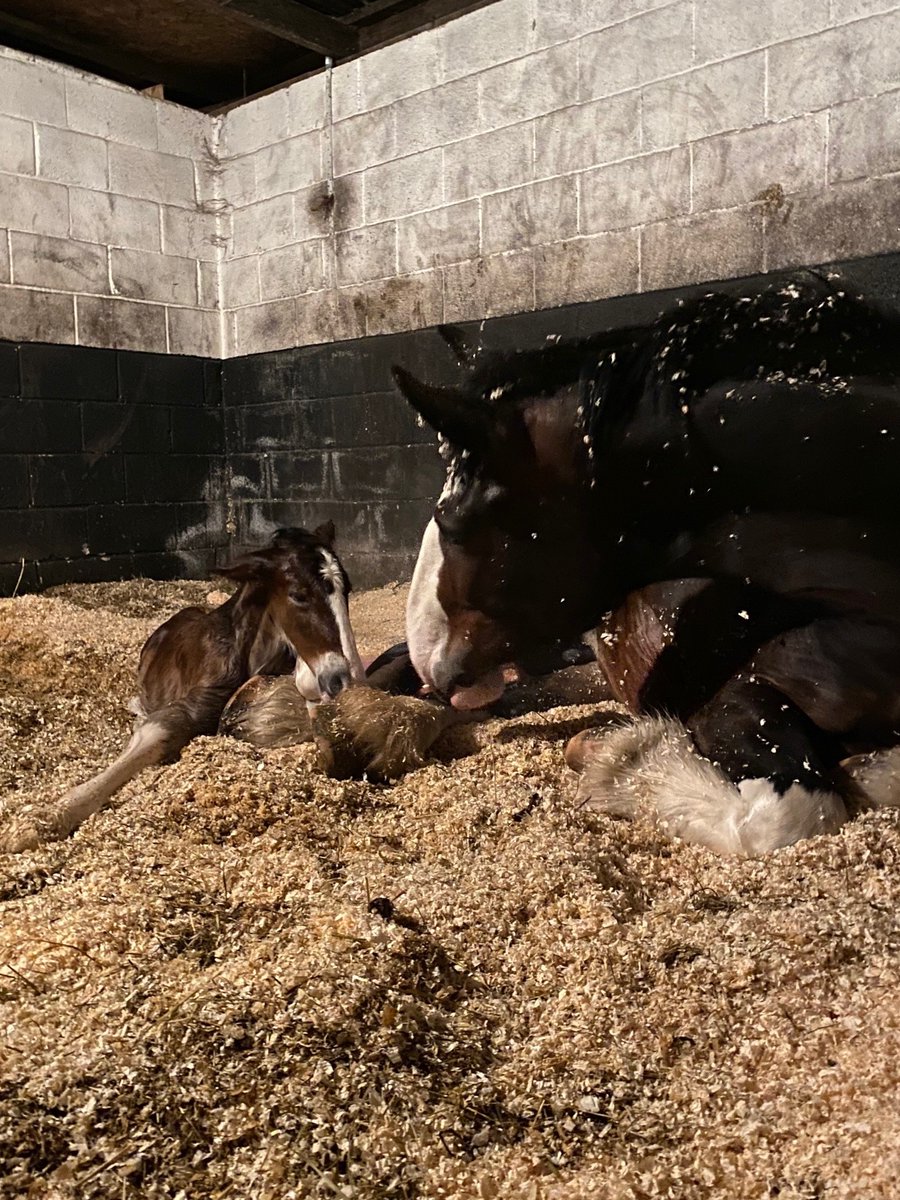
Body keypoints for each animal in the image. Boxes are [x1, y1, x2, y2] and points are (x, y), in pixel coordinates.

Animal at [1, 524, 365, 853]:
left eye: (347, 590)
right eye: (299, 595)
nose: (345, 678)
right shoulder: (186, 709)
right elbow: (150, 739)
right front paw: (36, 824)